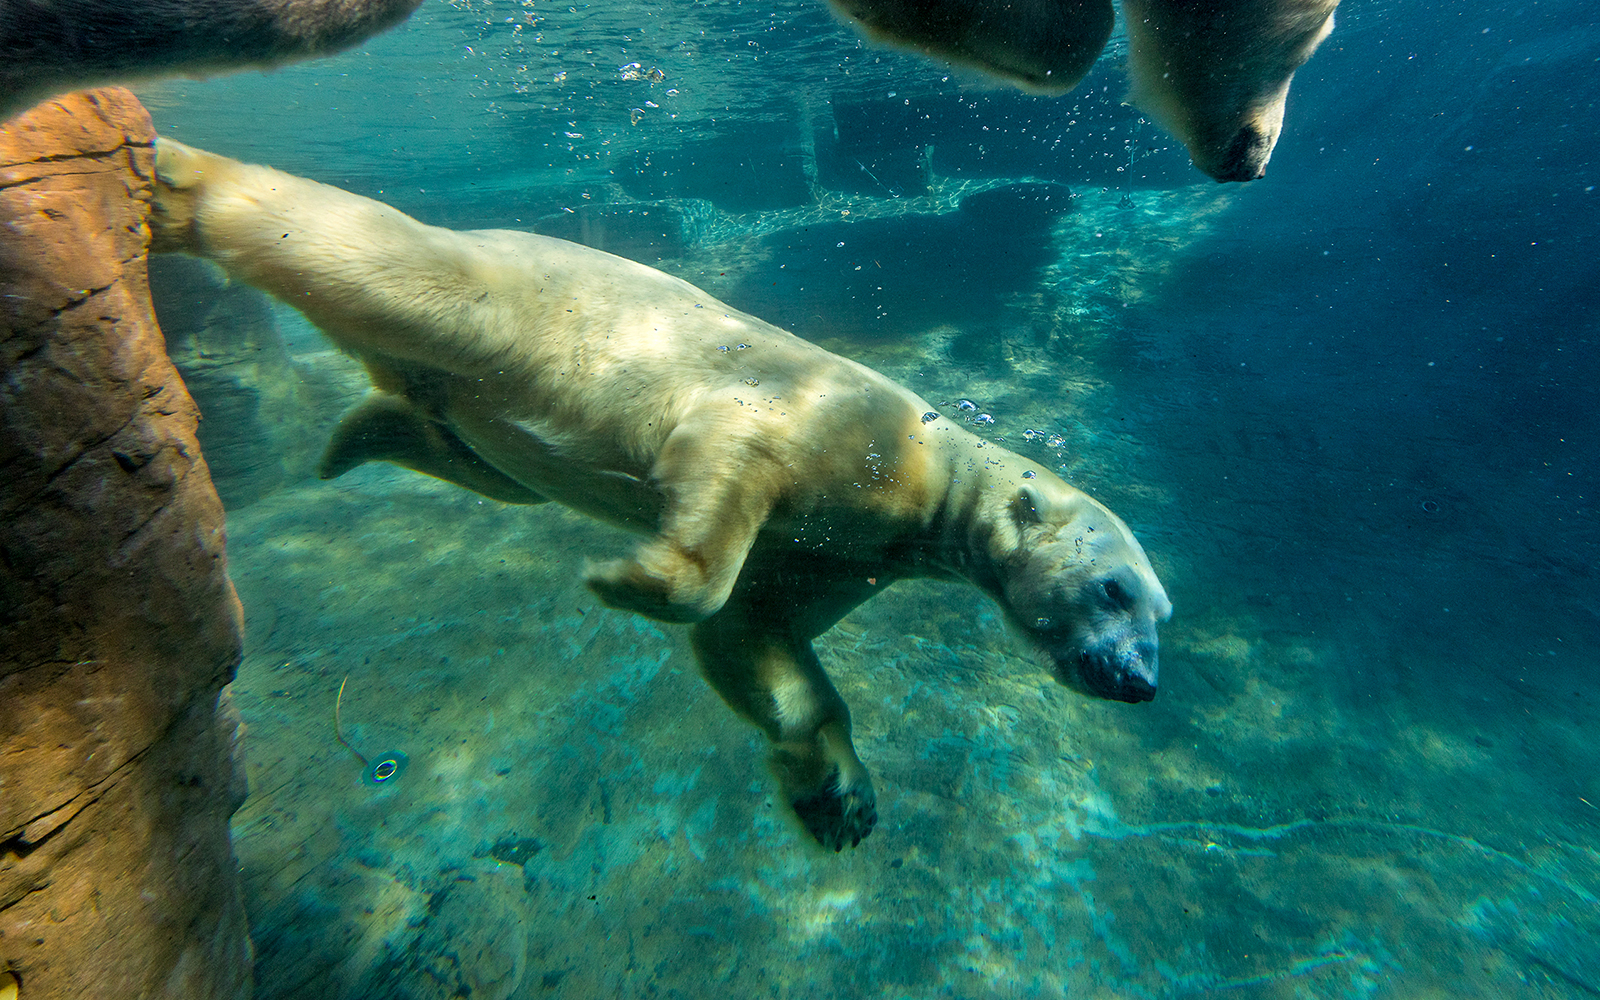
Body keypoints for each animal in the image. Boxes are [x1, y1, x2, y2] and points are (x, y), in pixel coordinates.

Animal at [149, 138, 1172, 851]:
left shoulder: (847, 554)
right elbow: (722, 492)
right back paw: (174, 179)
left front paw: (840, 800)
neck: (928, 474)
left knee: (475, 455)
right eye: (1114, 588)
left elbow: (757, 638)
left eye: (1161, 612)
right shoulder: (822, 426)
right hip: (506, 295)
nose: (1141, 681)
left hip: (475, 420)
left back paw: (352, 440)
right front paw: (629, 578)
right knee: (382, 263)